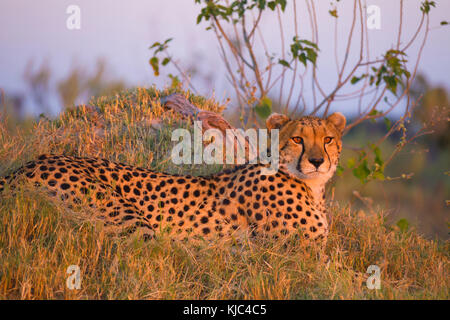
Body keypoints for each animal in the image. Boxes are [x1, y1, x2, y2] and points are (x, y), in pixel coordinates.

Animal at [0, 112, 346, 242]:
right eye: (298, 139)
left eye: (328, 139)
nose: (317, 161)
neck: (310, 186)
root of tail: (24, 165)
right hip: (128, 219)